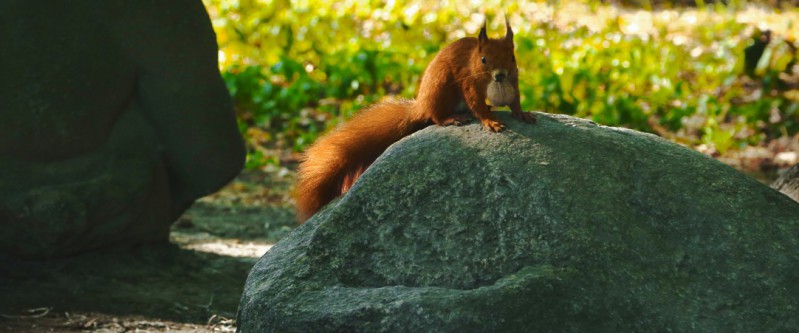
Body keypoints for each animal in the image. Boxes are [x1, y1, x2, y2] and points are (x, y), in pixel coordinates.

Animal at [294, 21, 536, 223]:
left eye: (512, 58)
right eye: (484, 59)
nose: (500, 75)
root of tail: (422, 105)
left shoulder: (514, 78)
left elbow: (515, 99)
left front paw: (521, 113)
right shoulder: (468, 79)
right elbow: (476, 102)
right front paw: (489, 120)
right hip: (441, 88)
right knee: (436, 117)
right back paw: (451, 118)